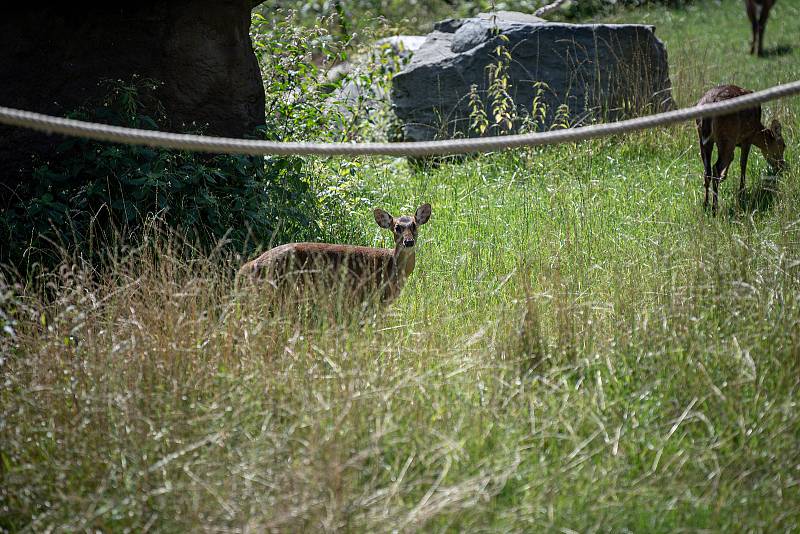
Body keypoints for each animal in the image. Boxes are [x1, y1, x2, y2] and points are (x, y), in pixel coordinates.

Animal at [239, 204, 432, 306]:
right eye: (396, 227)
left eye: (414, 225)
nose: (408, 242)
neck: (391, 267)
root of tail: (248, 266)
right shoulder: (370, 296)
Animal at [696, 85, 784, 215]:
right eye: (783, 146)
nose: (782, 166)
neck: (757, 129)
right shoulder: (747, 137)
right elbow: (743, 163)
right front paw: (742, 192)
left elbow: (732, 157)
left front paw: (724, 177)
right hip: (727, 134)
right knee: (716, 168)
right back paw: (714, 209)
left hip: (703, 138)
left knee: (707, 171)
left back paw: (705, 205)